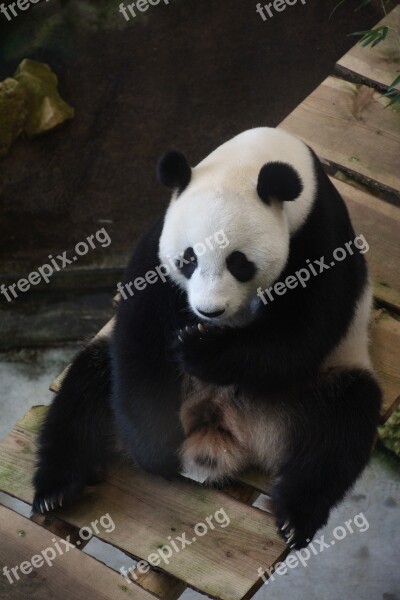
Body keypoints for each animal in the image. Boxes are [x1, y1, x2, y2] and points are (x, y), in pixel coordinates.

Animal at [32, 126, 382, 548]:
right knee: (86, 389)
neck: (254, 157)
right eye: (188, 259)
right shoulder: (160, 238)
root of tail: (223, 428)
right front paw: (155, 450)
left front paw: (199, 349)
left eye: (239, 263)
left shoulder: (320, 234)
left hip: (315, 386)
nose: (208, 312)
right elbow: (141, 329)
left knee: (340, 427)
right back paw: (56, 487)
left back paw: (295, 516)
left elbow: (304, 331)